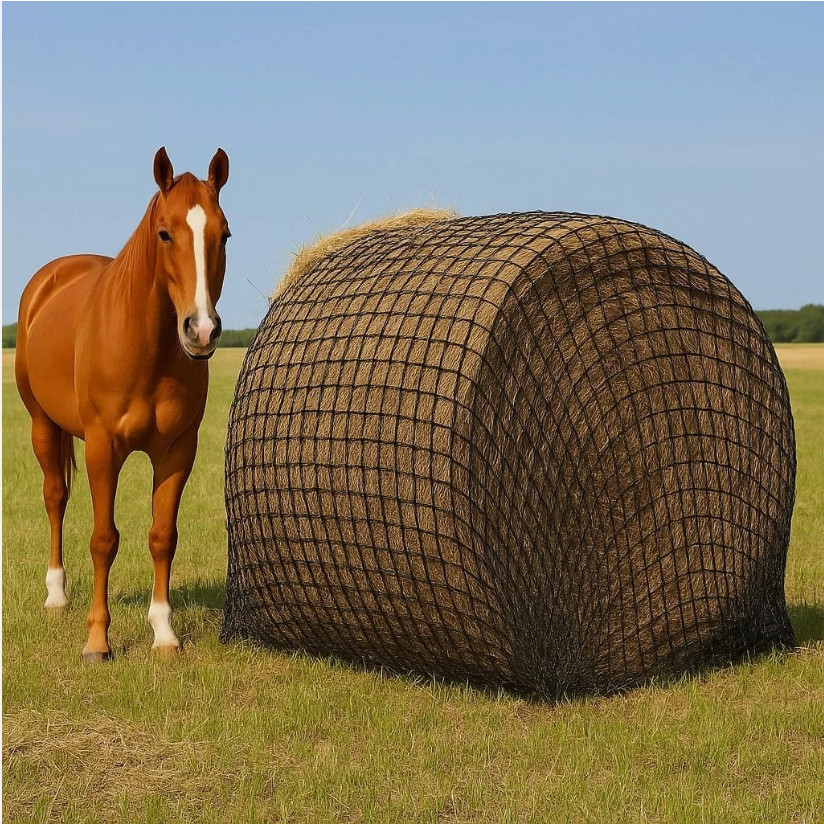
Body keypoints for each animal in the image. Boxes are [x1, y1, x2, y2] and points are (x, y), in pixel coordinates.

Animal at [15, 147, 230, 662]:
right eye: (165, 233)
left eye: (224, 234)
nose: (202, 330)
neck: (146, 349)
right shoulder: (102, 447)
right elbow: (103, 539)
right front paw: (97, 640)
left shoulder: (177, 452)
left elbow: (162, 537)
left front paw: (164, 633)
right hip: (42, 424)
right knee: (55, 497)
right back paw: (56, 596)